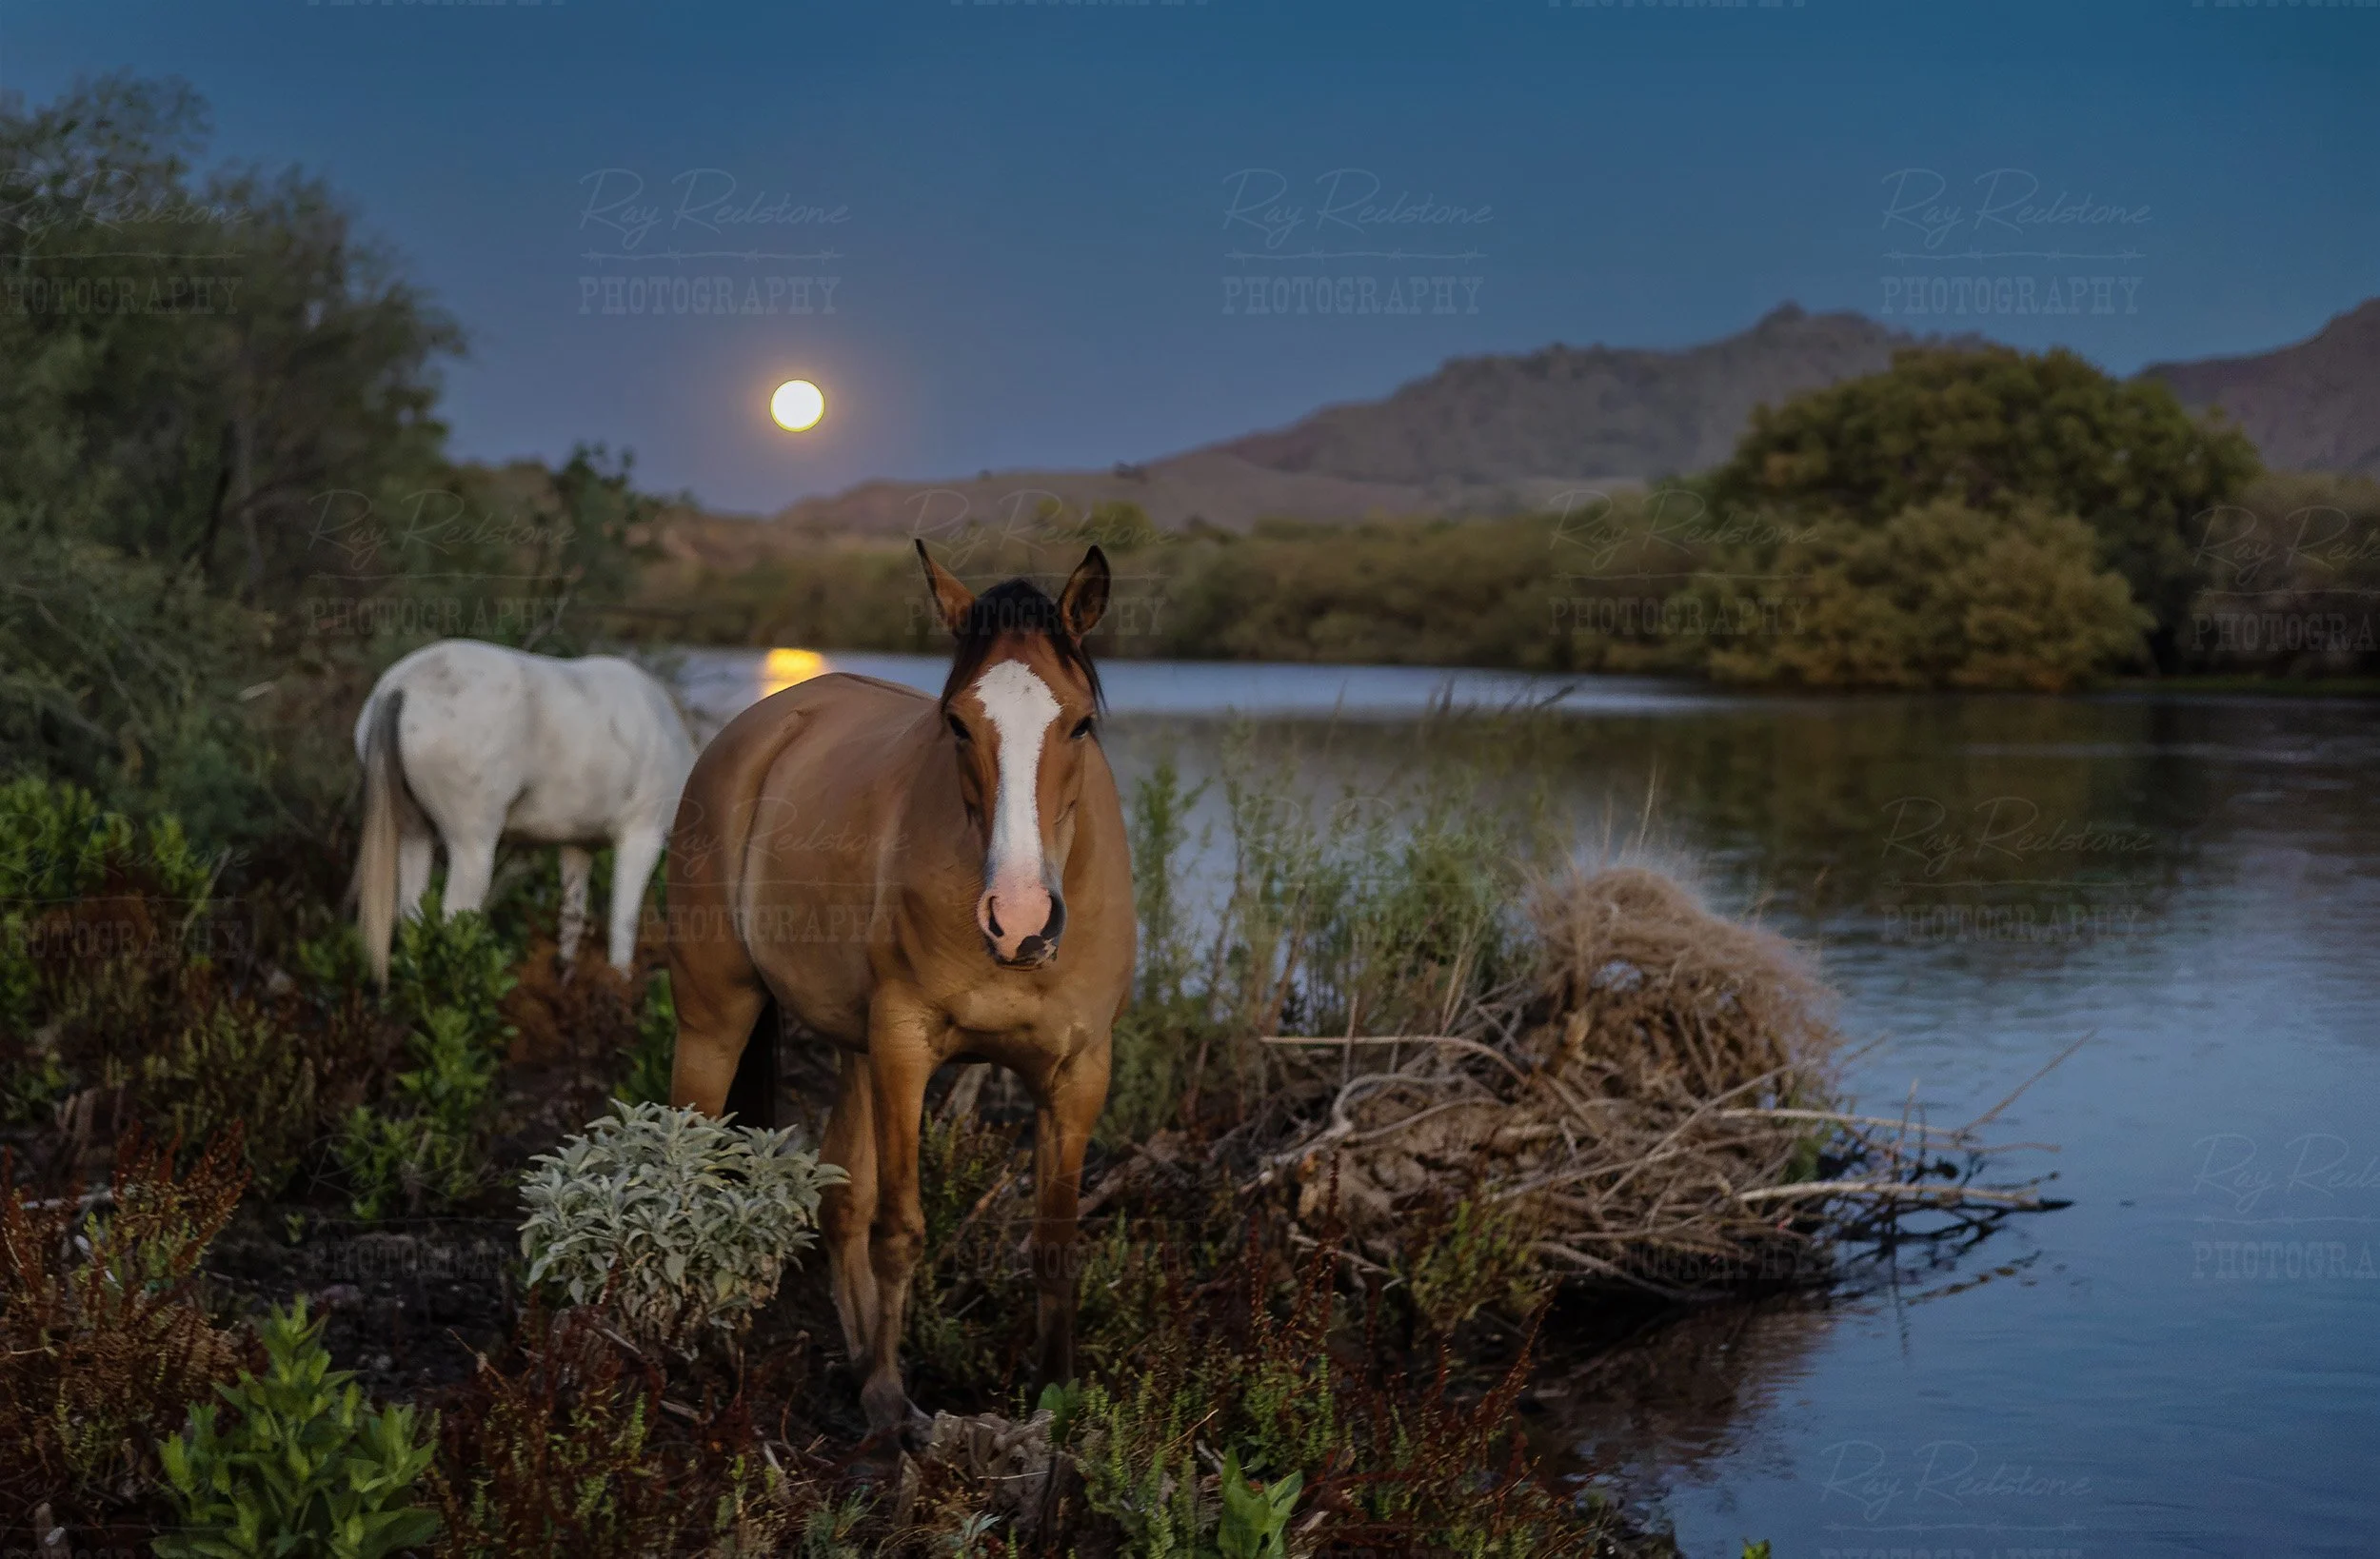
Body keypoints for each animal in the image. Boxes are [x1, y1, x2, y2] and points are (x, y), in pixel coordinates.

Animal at [351, 639, 697, 985]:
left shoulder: (578, 845)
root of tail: (400, 687)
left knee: (413, 920)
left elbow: (572, 916)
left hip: (414, 833)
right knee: (453, 921)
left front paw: (565, 981)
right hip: (472, 843)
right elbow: (623, 924)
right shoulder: (642, 835)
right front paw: (620, 984)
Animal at [666, 544, 1132, 1440]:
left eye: (1081, 723)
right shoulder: (907, 1045)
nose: (1020, 919)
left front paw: (1053, 1403)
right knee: (688, 1165)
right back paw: (679, 1343)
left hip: (854, 1049)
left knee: (838, 1198)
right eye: (957, 723)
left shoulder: (1078, 1073)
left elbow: (1054, 1246)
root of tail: (761, 728)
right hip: (718, 1021)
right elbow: (900, 1229)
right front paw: (888, 1398)